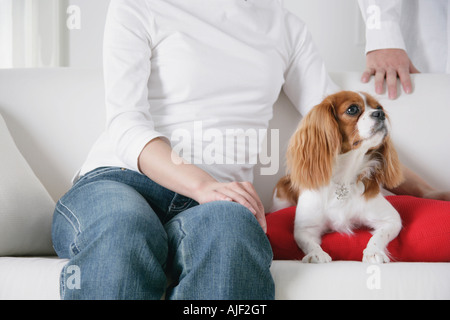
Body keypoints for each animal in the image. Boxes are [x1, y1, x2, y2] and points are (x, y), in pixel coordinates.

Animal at [272, 90, 406, 262]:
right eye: (352, 109)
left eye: (379, 107)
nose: (380, 114)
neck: (344, 178)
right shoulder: (305, 228)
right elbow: (309, 243)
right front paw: (317, 254)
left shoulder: (392, 219)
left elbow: (379, 236)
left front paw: (374, 252)